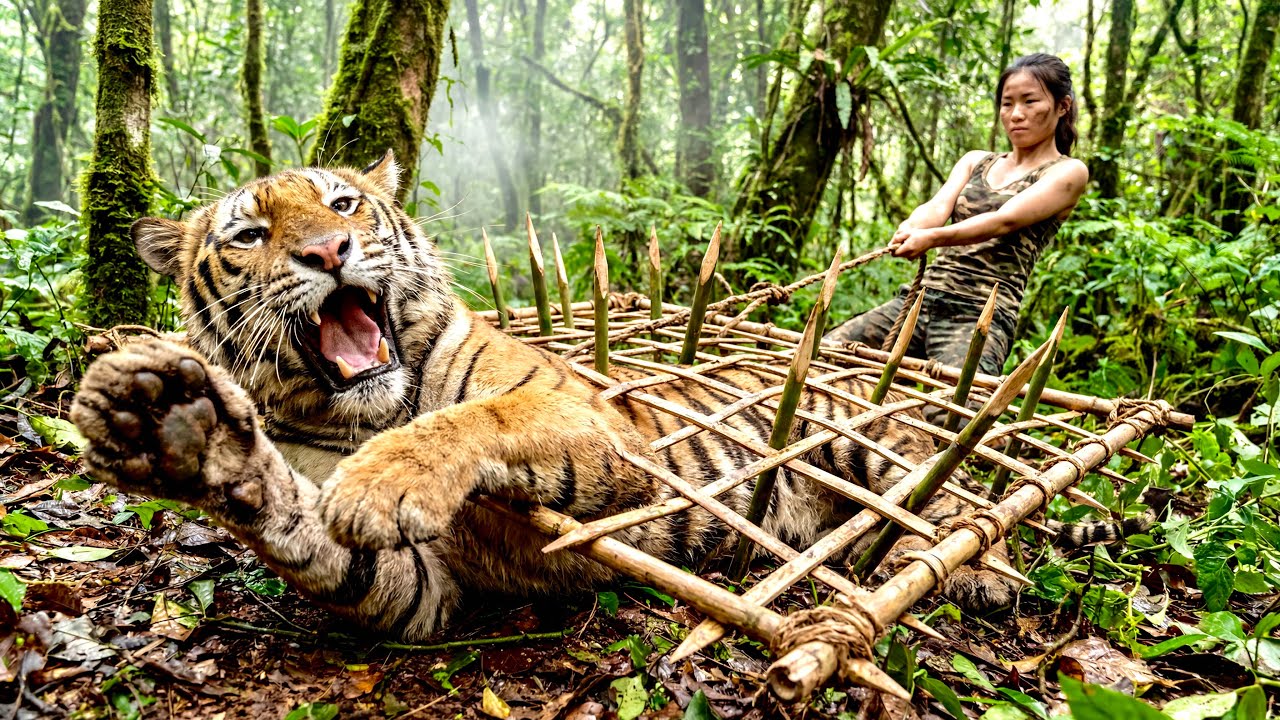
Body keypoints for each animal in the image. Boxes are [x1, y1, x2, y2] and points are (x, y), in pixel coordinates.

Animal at [69, 151, 1017, 642]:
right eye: (250, 234)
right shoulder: (423, 590)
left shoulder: (590, 422)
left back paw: (966, 572)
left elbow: (475, 416)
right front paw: (171, 424)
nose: (330, 251)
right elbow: (308, 529)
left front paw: (385, 480)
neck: (371, 406)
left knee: (958, 502)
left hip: (866, 440)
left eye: (343, 203)